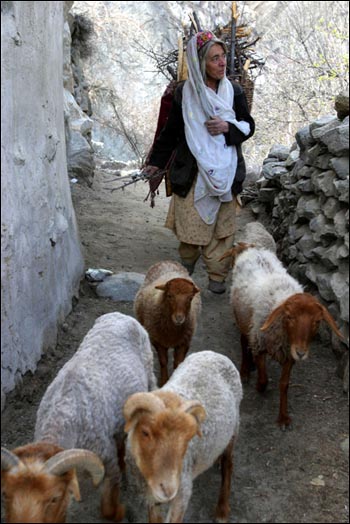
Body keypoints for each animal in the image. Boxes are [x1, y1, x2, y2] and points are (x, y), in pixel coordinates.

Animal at [0, 312, 156, 520]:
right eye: (5, 495)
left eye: (55, 498)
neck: (61, 416)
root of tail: (119, 314)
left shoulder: (105, 457)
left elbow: (108, 504)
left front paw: (119, 511)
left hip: (149, 369)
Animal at [123, 350, 243, 520]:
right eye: (145, 432)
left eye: (188, 437)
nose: (168, 489)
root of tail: (214, 353)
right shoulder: (151, 498)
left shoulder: (182, 493)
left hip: (234, 428)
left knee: (228, 464)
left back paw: (222, 510)